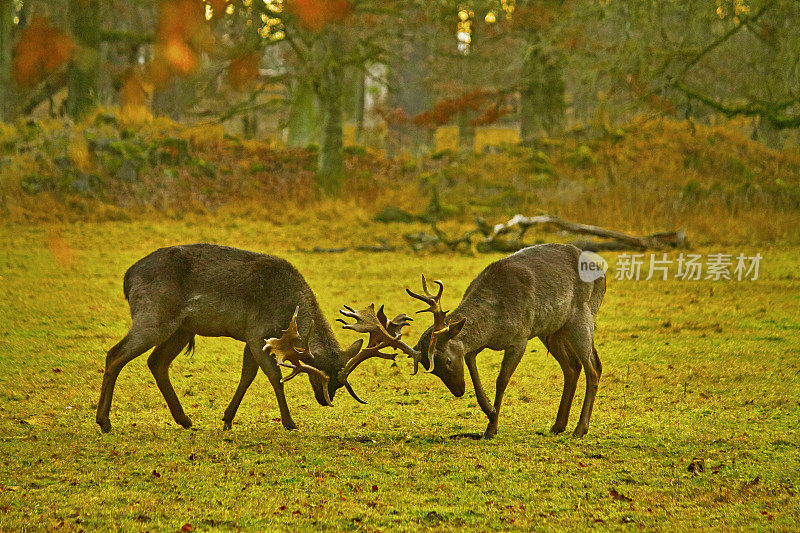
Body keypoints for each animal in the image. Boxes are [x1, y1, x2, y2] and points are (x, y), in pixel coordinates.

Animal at [96, 242, 416, 432]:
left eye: (340, 381)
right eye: (322, 375)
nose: (325, 401)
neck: (287, 311)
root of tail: (127, 277)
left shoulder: (252, 338)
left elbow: (247, 376)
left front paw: (227, 419)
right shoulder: (257, 331)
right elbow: (274, 376)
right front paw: (289, 422)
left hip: (182, 328)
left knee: (156, 362)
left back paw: (185, 420)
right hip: (154, 315)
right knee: (115, 353)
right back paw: (104, 421)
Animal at [406, 243, 608, 438]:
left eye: (448, 360)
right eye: (432, 370)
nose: (458, 391)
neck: (492, 325)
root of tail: (602, 274)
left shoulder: (520, 339)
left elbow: (502, 380)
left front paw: (492, 427)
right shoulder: (478, 345)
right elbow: (473, 368)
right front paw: (490, 410)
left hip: (583, 317)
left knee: (594, 367)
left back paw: (580, 429)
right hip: (552, 330)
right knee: (572, 366)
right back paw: (558, 425)